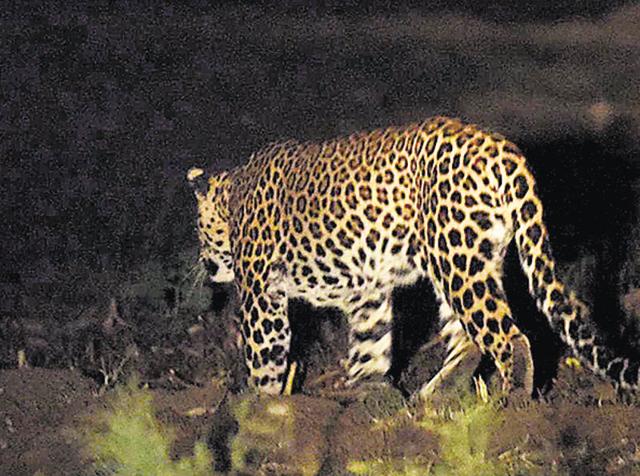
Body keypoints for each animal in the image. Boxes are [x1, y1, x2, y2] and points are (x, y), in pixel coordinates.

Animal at [187, 116, 639, 399]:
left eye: (197, 228)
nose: (206, 263)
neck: (235, 192)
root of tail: (503, 150)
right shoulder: (367, 291)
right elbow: (369, 344)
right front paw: (366, 393)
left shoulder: (261, 293)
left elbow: (265, 354)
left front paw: (261, 407)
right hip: (466, 260)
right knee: (468, 340)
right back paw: (432, 398)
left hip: (456, 259)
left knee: (507, 336)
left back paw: (510, 402)